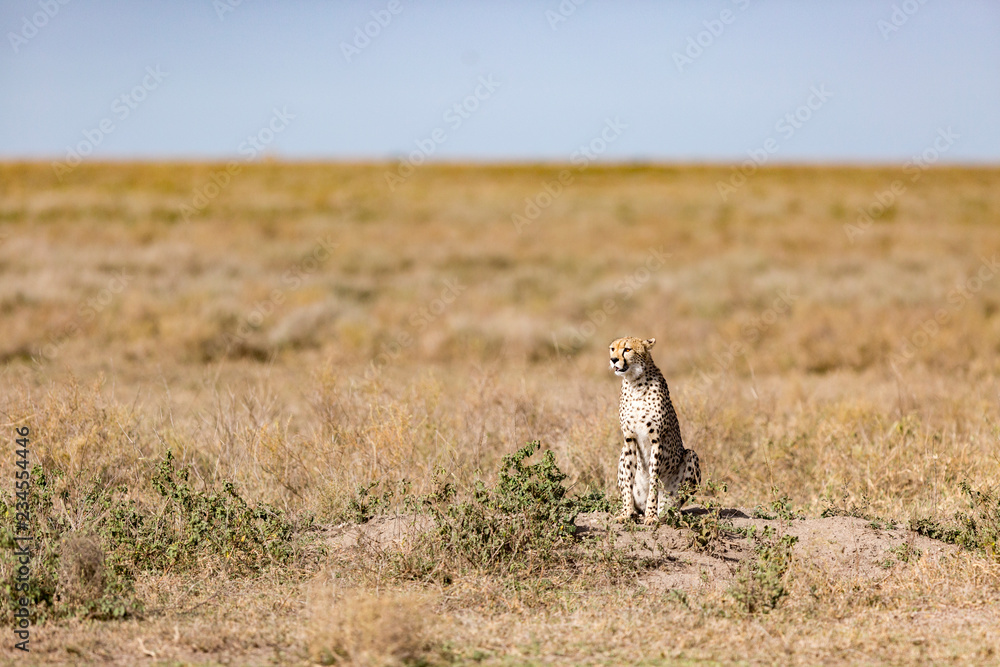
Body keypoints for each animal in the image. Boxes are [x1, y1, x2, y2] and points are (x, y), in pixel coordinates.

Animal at [609, 336, 700, 525]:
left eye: (627, 349)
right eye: (612, 349)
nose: (613, 360)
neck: (634, 383)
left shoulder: (656, 440)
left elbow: (653, 480)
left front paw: (651, 516)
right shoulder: (629, 439)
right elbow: (628, 479)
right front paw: (626, 512)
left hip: (691, 456)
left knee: (673, 503)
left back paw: (668, 514)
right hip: (622, 453)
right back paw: (636, 512)